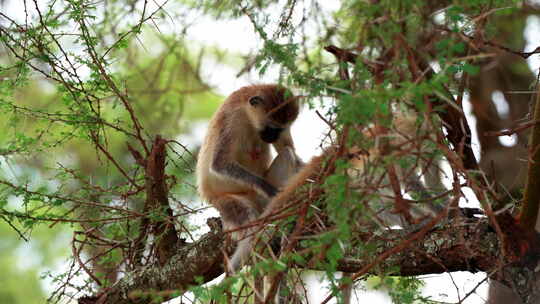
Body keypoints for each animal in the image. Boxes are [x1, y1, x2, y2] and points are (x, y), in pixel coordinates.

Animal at [195, 84, 304, 272]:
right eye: (271, 128)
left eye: (281, 129)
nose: (272, 137)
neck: (247, 115)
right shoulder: (230, 119)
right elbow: (219, 164)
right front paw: (265, 187)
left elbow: (288, 147)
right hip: (226, 201)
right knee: (248, 221)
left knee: (288, 154)